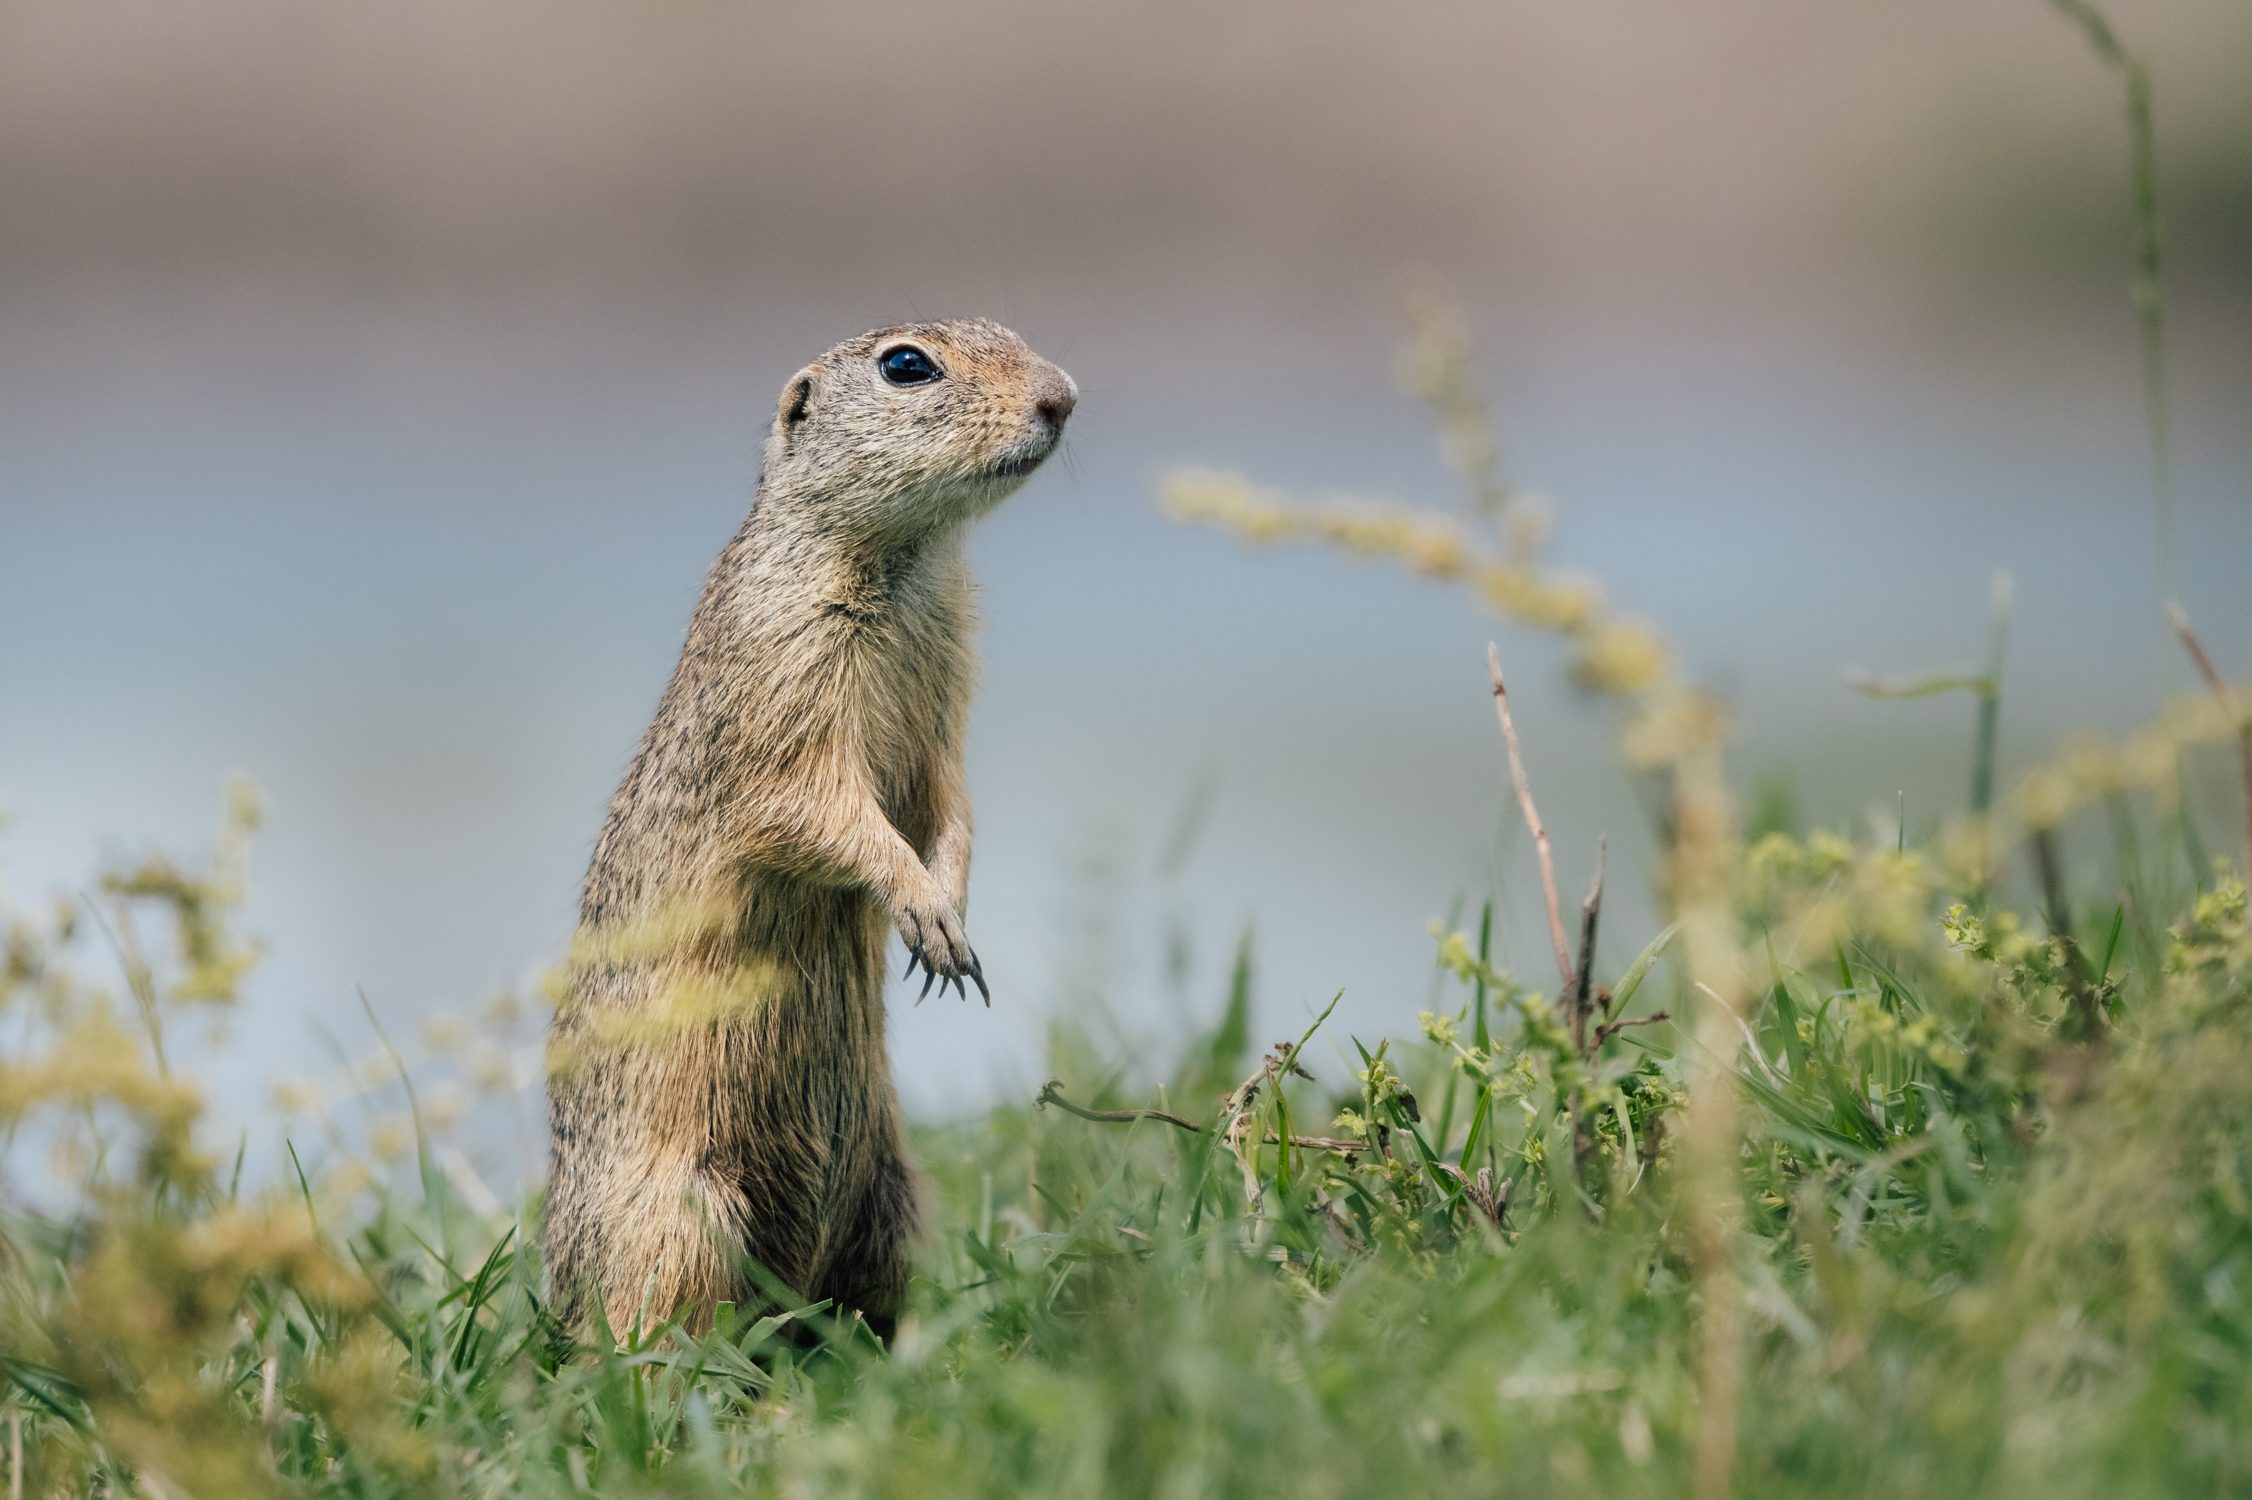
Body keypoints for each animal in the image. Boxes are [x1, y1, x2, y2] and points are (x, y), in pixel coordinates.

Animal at [545, 319, 1076, 1341]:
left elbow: (952, 807)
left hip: (894, 1200)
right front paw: (926, 914)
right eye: (907, 365)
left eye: (1011, 330)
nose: (1063, 398)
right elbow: (816, 809)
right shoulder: (786, 678)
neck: (908, 564)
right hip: (677, 1221)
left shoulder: (944, 704)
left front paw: (948, 910)